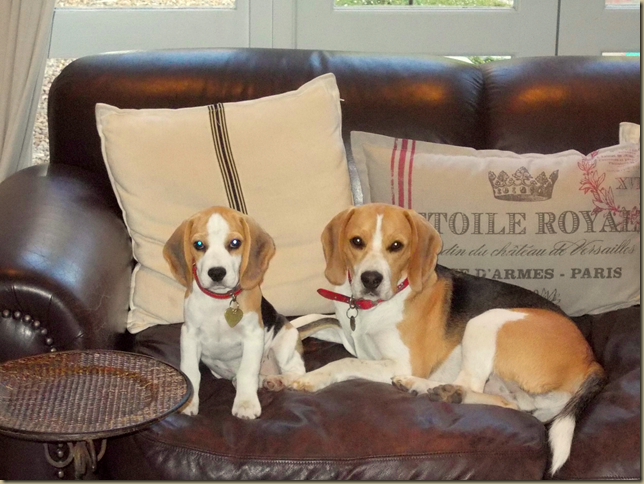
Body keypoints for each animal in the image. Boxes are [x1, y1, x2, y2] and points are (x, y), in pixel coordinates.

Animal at [163, 206, 331, 419]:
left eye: (235, 243)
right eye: (198, 244)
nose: (216, 273)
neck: (220, 300)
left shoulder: (253, 336)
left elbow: (247, 372)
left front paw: (245, 404)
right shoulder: (189, 335)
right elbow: (191, 371)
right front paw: (189, 402)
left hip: (284, 342)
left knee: (295, 371)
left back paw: (278, 380)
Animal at [274, 203, 605, 475]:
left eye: (397, 246)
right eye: (357, 241)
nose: (370, 279)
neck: (370, 308)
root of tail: (591, 360)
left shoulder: (402, 361)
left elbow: (345, 361)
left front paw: (310, 378)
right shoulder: (346, 331)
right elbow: (302, 323)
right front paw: (280, 361)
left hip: (486, 320)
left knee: (470, 383)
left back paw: (423, 387)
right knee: (508, 404)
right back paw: (445, 393)